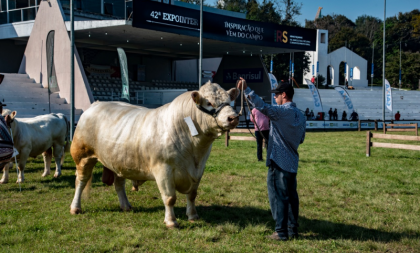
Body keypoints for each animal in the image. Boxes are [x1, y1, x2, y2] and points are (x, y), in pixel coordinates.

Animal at [69, 82, 240, 228]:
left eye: (230, 102)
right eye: (209, 103)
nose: (233, 118)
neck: (194, 150)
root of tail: (97, 103)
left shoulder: (198, 170)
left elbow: (192, 195)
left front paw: (193, 216)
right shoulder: (163, 169)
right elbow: (170, 198)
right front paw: (171, 222)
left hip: (119, 159)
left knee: (119, 184)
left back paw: (126, 206)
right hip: (83, 156)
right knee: (81, 181)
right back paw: (75, 208)